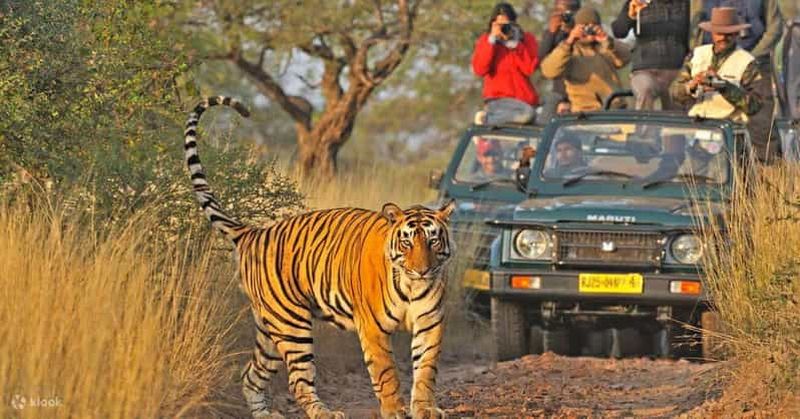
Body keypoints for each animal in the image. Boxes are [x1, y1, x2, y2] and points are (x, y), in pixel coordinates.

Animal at [183, 96, 455, 419]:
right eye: (407, 243)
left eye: (433, 240)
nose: (422, 271)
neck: (411, 286)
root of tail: (253, 232)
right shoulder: (373, 329)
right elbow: (386, 373)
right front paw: (395, 411)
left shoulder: (430, 323)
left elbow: (426, 369)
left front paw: (425, 409)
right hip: (292, 325)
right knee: (298, 381)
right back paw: (324, 413)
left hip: (269, 329)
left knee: (250, 375)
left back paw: (265, 414)